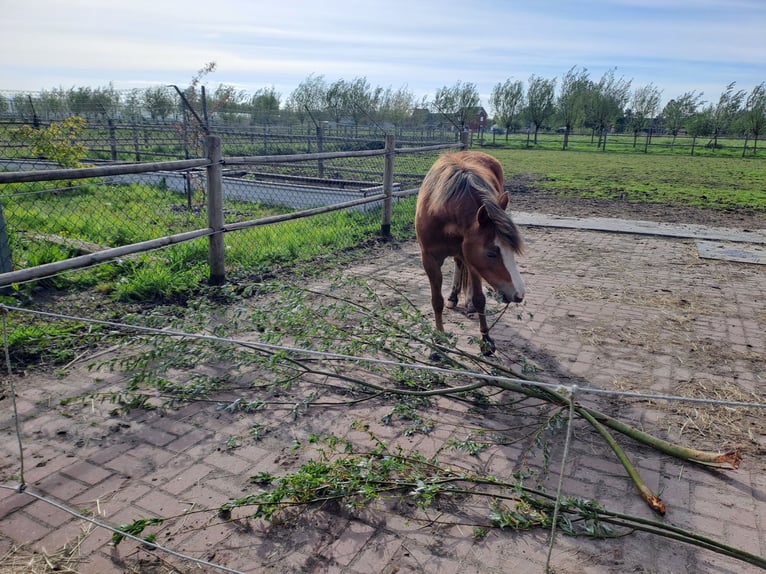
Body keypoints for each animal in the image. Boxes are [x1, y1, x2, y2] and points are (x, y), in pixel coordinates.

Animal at [414, 151, 528, 356]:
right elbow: (436, 301)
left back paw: (467, 303)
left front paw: (486, 340)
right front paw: (439, 341)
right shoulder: (429, 260)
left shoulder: (472, 259)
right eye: (491, 254)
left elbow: (480, 298)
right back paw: (453, 297)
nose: (519, 294)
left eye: (511, 251)